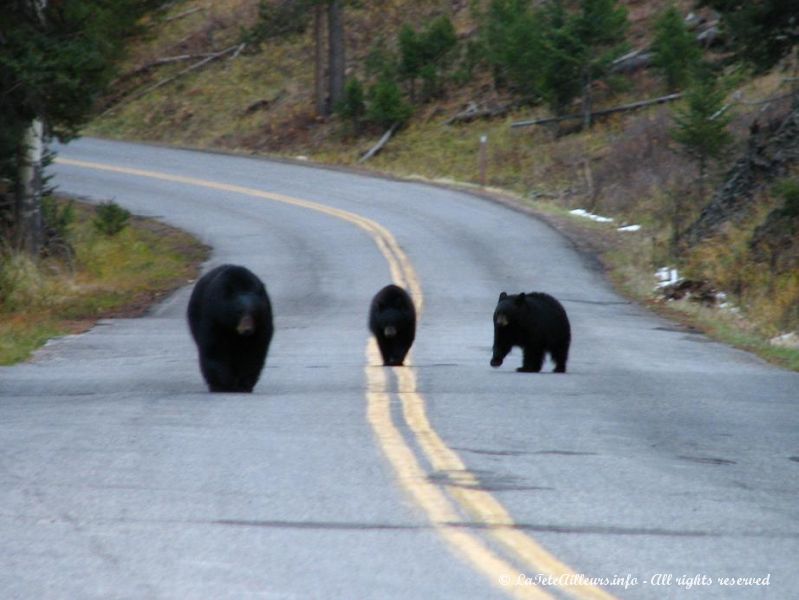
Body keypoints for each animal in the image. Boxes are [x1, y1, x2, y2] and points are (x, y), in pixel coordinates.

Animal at [188, 264, 276, 392]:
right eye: (239, 312)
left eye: (254, 312)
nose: (247, 330)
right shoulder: (214, 317)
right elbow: (215, 348)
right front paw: (224, 383)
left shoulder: (262, 323)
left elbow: (254, 352)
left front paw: (244, 384)